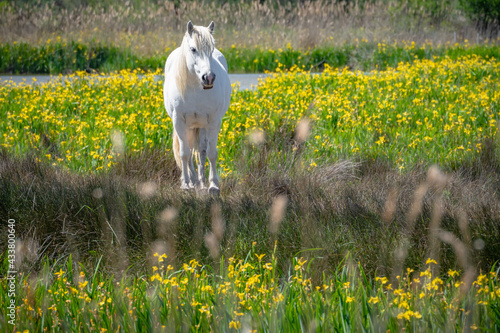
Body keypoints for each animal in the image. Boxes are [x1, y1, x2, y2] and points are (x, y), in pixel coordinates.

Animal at [164, 21, 232, 192]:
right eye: (193, 49)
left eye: (212, 49)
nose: (209, 78)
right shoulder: (179, 121)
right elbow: (184, 153)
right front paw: (186, 185)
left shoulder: (213, 121)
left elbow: (211, 153)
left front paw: (213, 185)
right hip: (189, 126)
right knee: (188, 153)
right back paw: (192, 181)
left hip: (201, 126)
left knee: (201, 151)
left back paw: (201, 182)